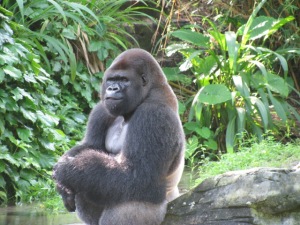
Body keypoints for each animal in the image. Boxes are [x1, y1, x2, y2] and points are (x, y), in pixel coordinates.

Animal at [53, 48, 185, 225]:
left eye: (124, 79)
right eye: (111, 80)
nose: (112, 89)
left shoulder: (153, 115)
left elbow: (138, 176)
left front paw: (71, 169)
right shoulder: (102, 108)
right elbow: (89, 145)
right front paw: (63, 182)